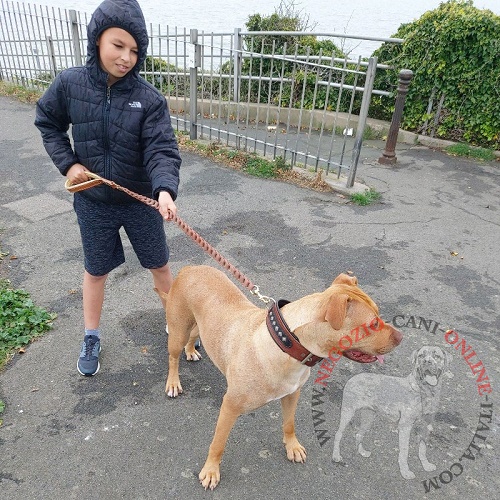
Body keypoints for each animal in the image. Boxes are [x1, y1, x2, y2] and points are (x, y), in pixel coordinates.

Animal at [160, 266, 402, 488]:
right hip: (178, 330)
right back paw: (173, 382)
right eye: (372, 324)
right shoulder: (230, 406)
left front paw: (292, 447)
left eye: (379, 313)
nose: (401, 336)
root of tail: (189, 268)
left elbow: (289, 424)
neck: (288, 345)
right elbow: (218, 444)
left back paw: (191, 350)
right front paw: (211, 470)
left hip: (200, 324)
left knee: (194, 336)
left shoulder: (292, 394)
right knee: (173, 357)